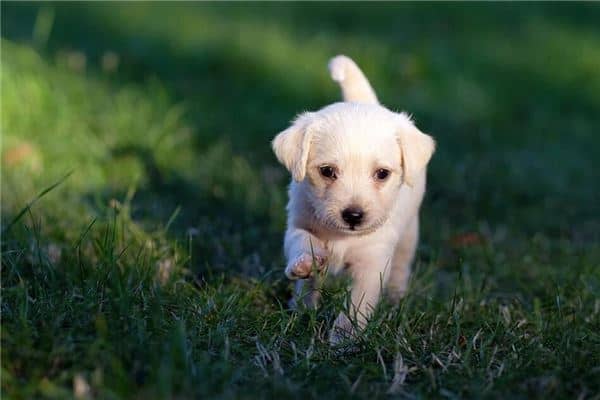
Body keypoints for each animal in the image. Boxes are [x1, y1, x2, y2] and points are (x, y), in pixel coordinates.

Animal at [274, 54, 436, 344]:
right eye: (327, 171)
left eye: (382, 174)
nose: (353, 215)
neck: (342, 237)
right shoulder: (298, 223)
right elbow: (302, 241)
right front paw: (305, 262)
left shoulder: (372, 264)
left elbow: (357, 305)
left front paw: (343, 339)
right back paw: (301, 307)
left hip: (409, 234)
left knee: (401, 266)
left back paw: (395, 298)